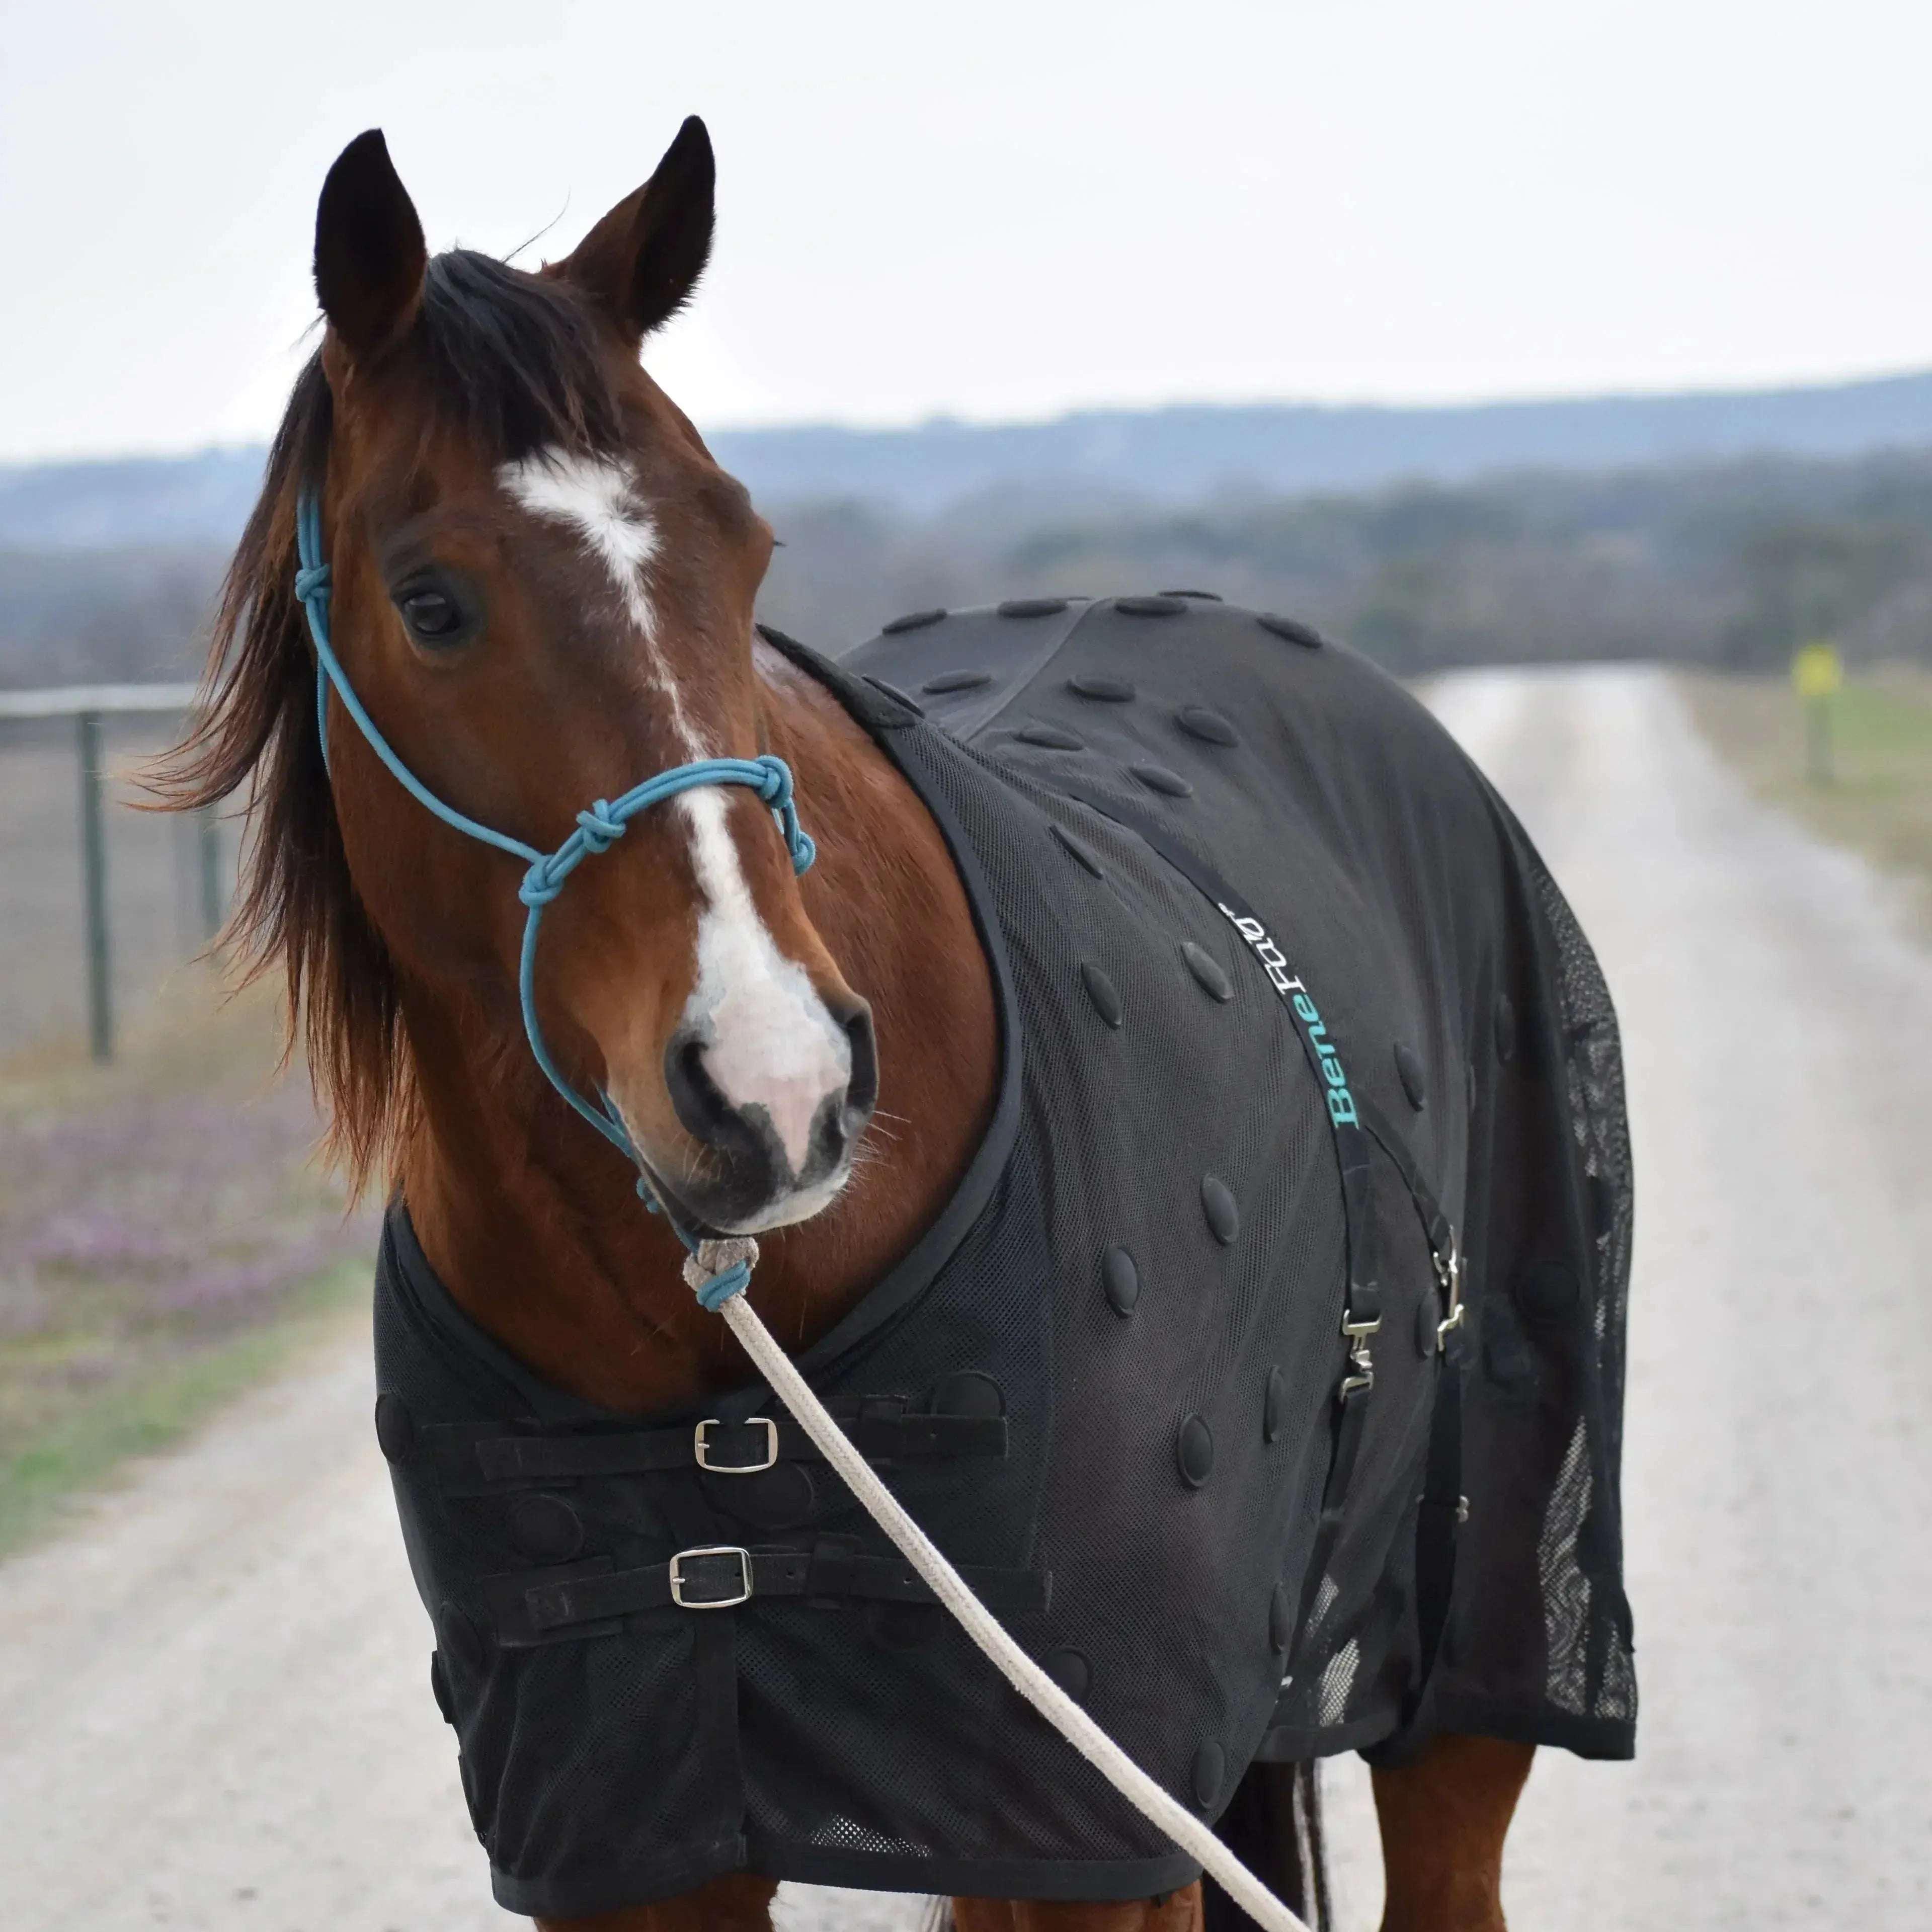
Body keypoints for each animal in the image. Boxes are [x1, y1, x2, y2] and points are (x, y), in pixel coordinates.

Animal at [164, 118, 1633, 1932]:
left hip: (1450, 1689)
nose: (774, 1087)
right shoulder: (638, 1844)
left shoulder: (1094, 1830)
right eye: (432, 603)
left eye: (741, 547)